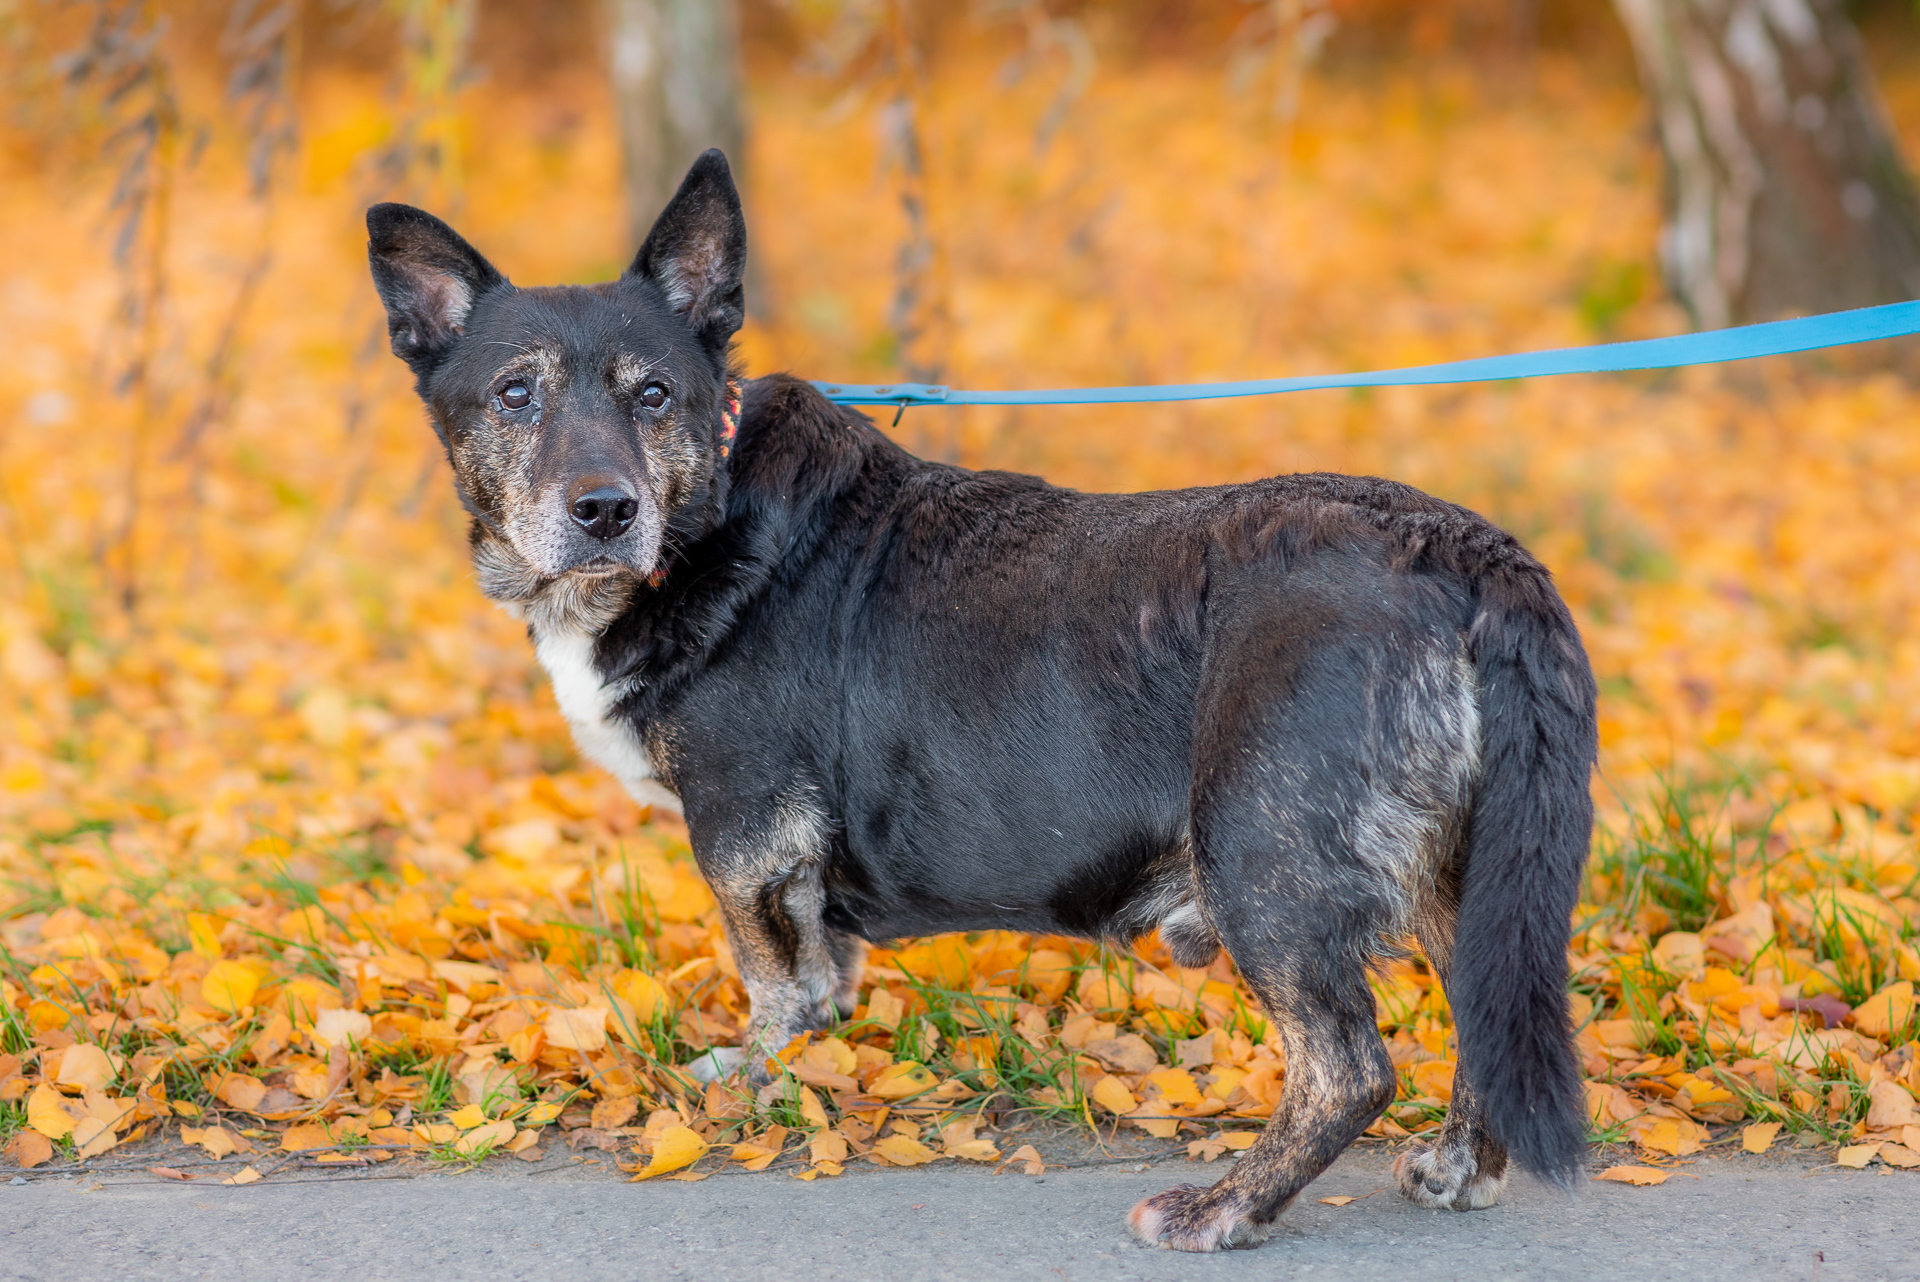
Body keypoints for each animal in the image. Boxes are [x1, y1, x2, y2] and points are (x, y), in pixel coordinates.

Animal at [366, 150, 1597, 1251]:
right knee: (1483, 1006)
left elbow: (775, 987)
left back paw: (1226, 1209)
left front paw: (756, 1086)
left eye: (655, 394)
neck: (700, 524)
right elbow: (822, 979)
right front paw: (809, 1071)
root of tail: (1466, 550)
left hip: (1264, 850)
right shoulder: (791, 864)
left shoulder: (746, 838)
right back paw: (1459, 1169)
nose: (606, 510)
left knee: (1347, 1067)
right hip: (1453, 865)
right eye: (515, 394)